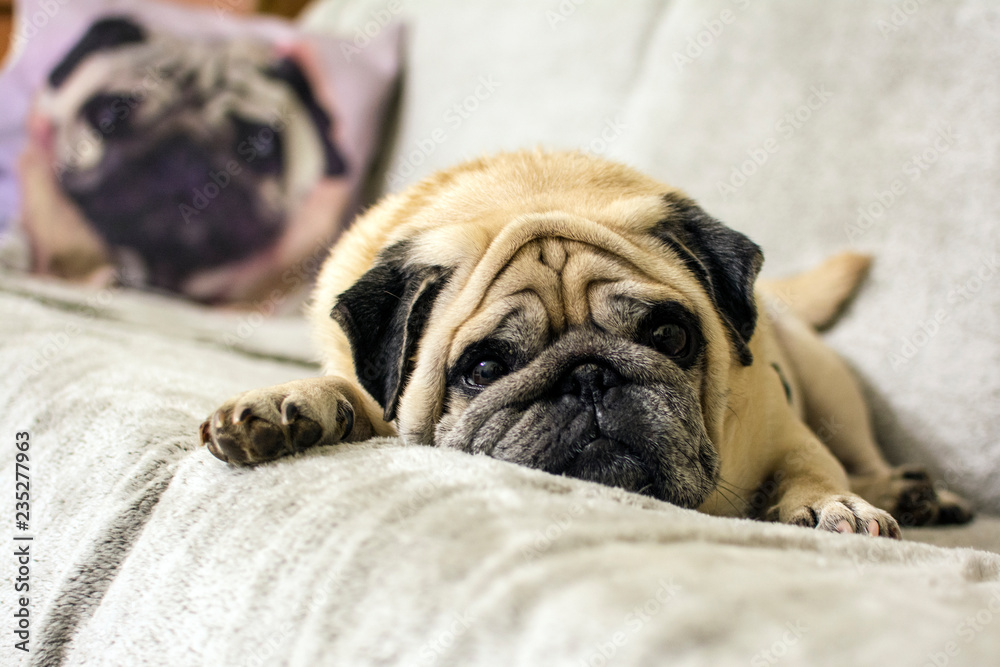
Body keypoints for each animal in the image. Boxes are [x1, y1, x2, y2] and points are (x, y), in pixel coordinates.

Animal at [195, 153, 968, 536]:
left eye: (670, 335)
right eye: (483, 367)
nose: (590, 376)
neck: (536, 193)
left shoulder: (779, 423)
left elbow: (810, 466)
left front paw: (837, 505)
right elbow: (350, 392)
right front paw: (295, 405)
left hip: (832, 389)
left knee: (857, 454)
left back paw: (906, 490)